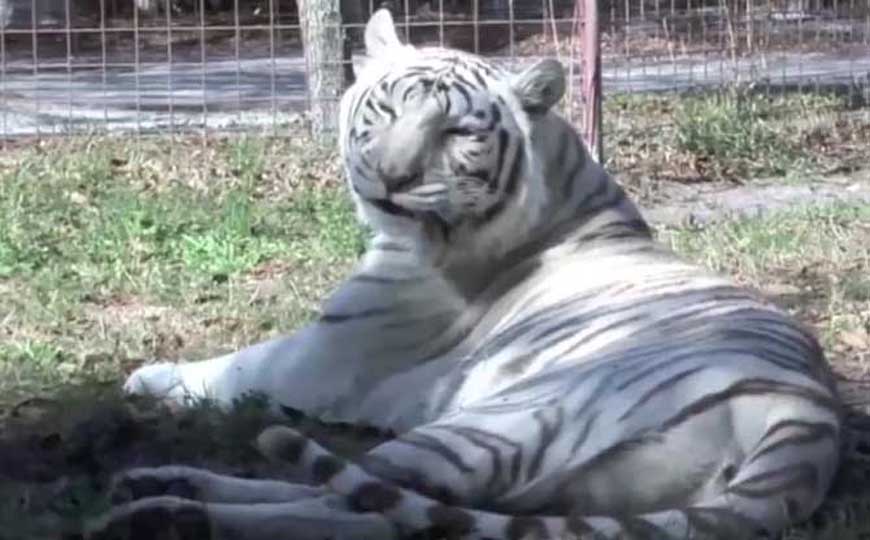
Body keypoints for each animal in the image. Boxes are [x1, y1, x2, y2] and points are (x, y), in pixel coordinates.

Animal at [90, 8, 843, 540]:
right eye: (387, 109)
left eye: (458, 133)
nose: (390, 177)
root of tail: (808, 419)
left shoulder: (322, 357)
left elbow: (232, 367)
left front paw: (148, 376)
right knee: (372, 516)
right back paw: (161, 501)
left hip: (499, 421)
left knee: (342, 501)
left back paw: (167, 501)